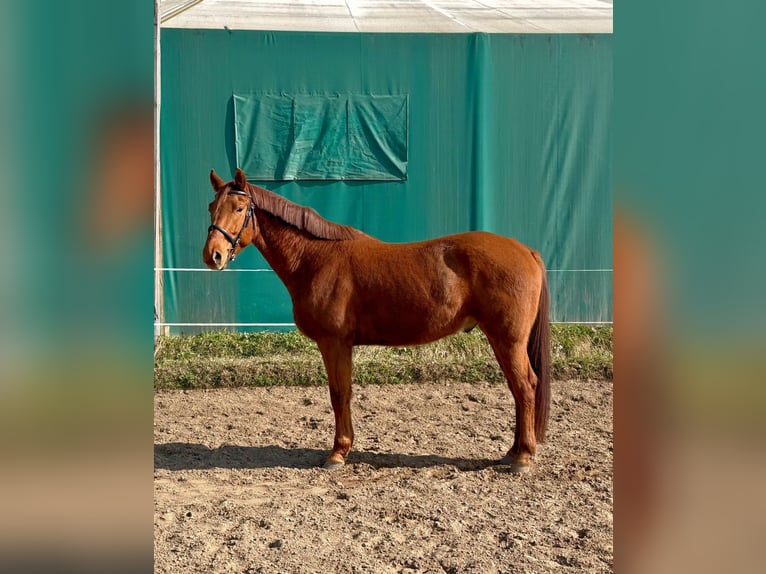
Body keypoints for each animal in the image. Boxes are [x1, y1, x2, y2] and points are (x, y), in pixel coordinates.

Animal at [202, 168, 550, 473]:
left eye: (239, 207)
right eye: (211, 207)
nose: (212, 255)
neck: (315, 258)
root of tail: (528, 252)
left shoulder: (334, 343)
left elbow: (339, 394)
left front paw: (338, 453)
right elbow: (343, 393)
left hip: (508, 339)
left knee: (525, 386)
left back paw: (523, 458)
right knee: (517, 389)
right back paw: (513, 452)